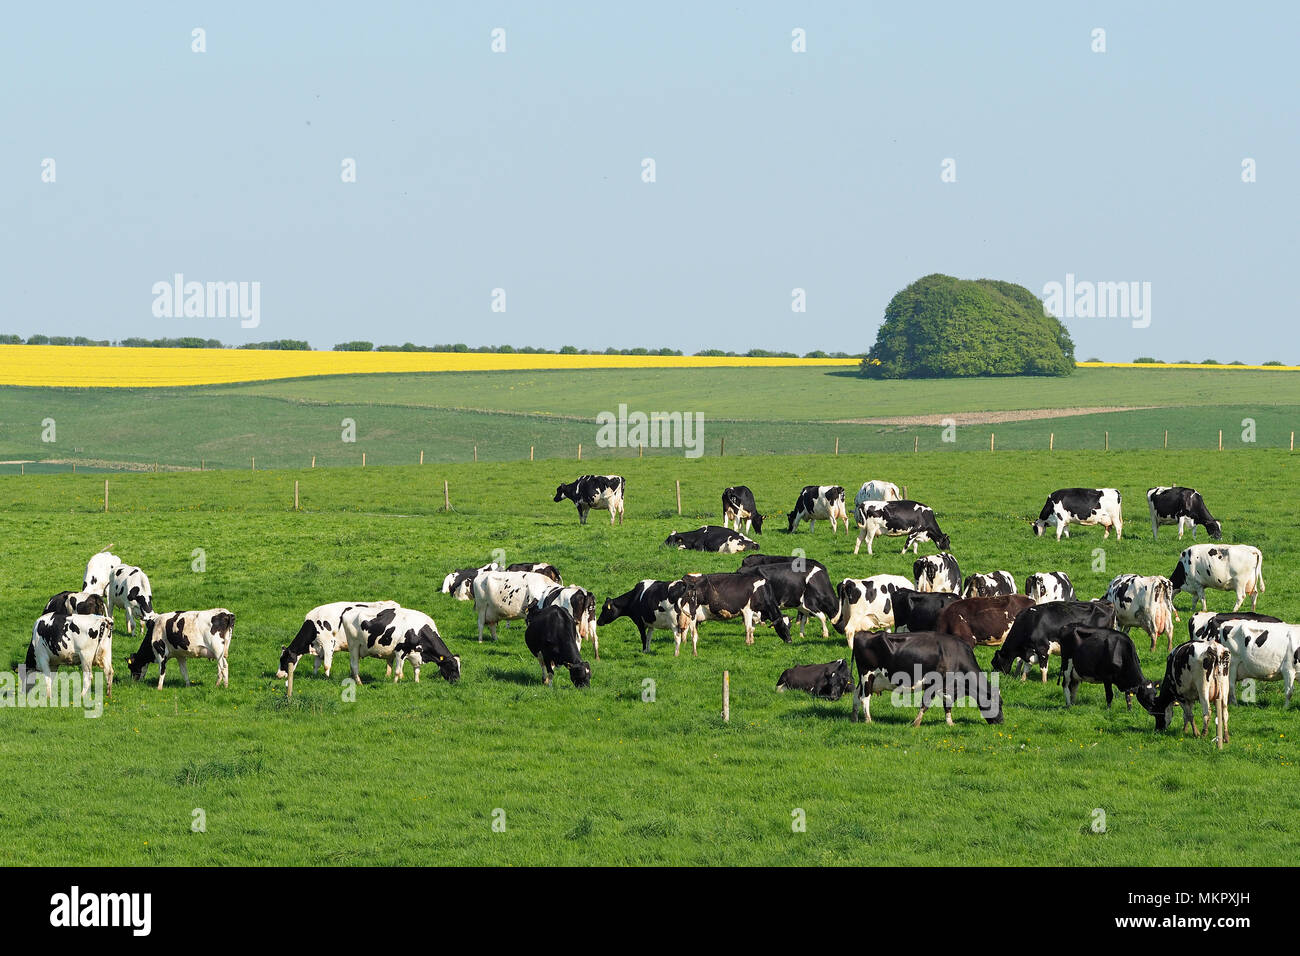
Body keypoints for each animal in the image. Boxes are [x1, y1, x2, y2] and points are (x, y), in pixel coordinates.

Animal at [849, 631, 1002, 726]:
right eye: (999, 703)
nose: (1001, 721)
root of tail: (862, 633)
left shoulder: (946, 688)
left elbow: (945, 704)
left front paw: (949, 723)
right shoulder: (937, 684)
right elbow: (927, 704)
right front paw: (916, 723)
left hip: (866, 680)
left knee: (856, 695)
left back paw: (854, 718)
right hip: (867, 675)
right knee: (864, 698)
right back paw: (868, 720)